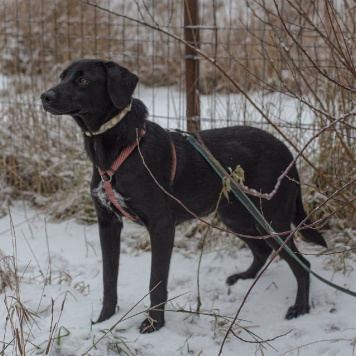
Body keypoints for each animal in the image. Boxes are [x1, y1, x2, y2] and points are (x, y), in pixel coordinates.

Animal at [40, 59, 326, 334]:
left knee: (302, 264)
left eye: (83, 80)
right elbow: (109, 280)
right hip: (237, 217)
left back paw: (300, 308)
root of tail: (288, 152)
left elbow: (156, 281)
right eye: (62, 76)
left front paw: (154, 324)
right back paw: (245, 277)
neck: (117, 150)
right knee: (263, 250)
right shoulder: (108, 224)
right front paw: (103, 321)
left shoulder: (162, 226)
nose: (45, 96)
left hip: (271, 221)